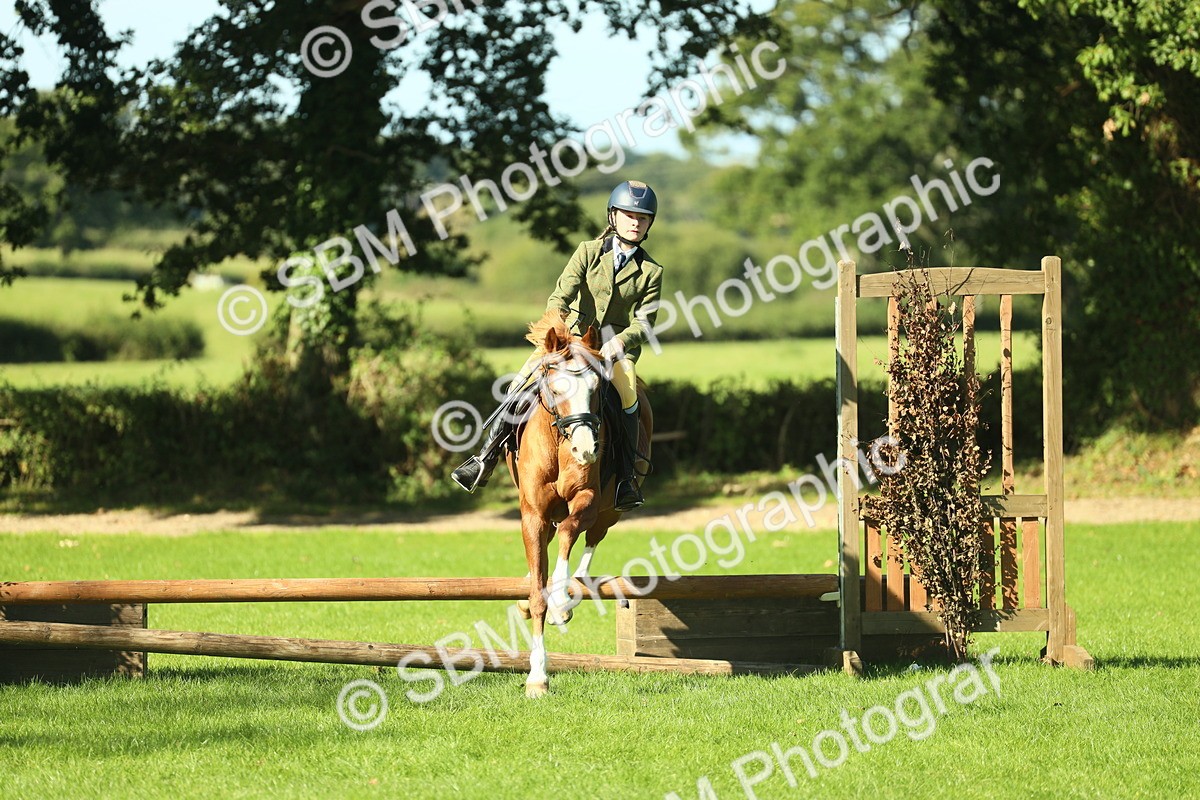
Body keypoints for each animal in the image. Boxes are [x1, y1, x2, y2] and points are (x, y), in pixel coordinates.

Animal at [504, 311, 652, 698]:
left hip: (610, 511)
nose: (586, 450)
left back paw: (573, 588)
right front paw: (537, 677)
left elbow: (570, 533)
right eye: (555, 389)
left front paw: (559, 601)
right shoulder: (533, 514)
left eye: (596, 389)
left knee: (590, 540)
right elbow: (537, 590)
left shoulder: (587, 501)